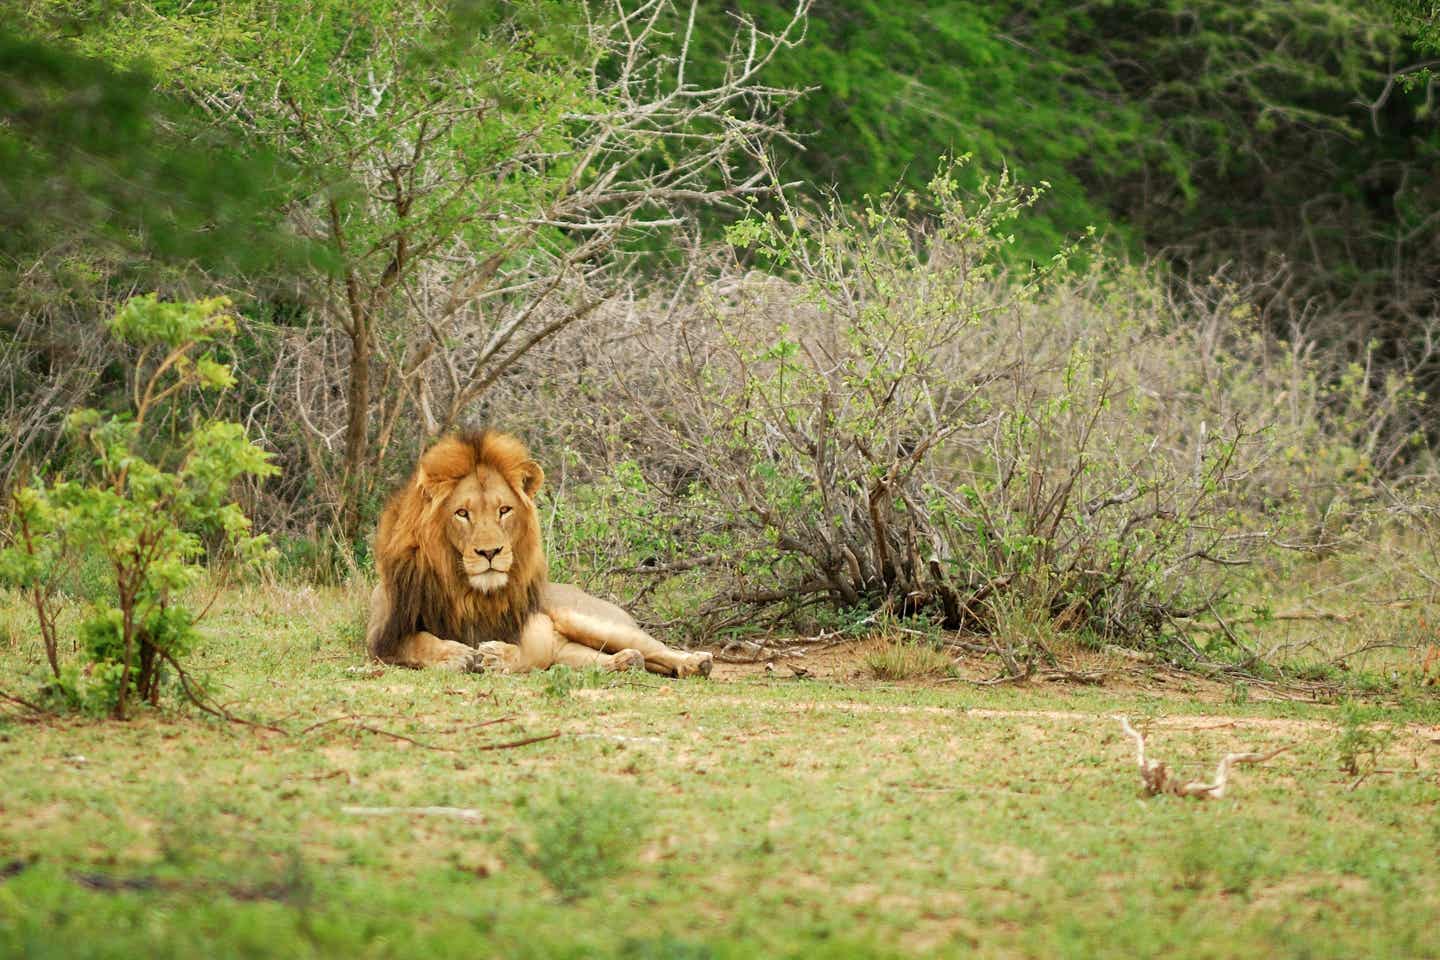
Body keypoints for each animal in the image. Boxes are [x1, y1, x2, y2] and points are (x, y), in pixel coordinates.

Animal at [365, 428, 714, 676]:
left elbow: (525, 650)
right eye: (462, 513)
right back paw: (625, 663)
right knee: (615, 658)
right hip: (575, 652)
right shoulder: (381, 633)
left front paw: (496, 656)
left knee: (656, 648)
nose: (490, 552)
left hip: (589, 619)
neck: (468, 591)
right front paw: (457, 654)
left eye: (504, 510)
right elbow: (418, 642)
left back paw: (695, 663)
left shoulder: (531, 628)